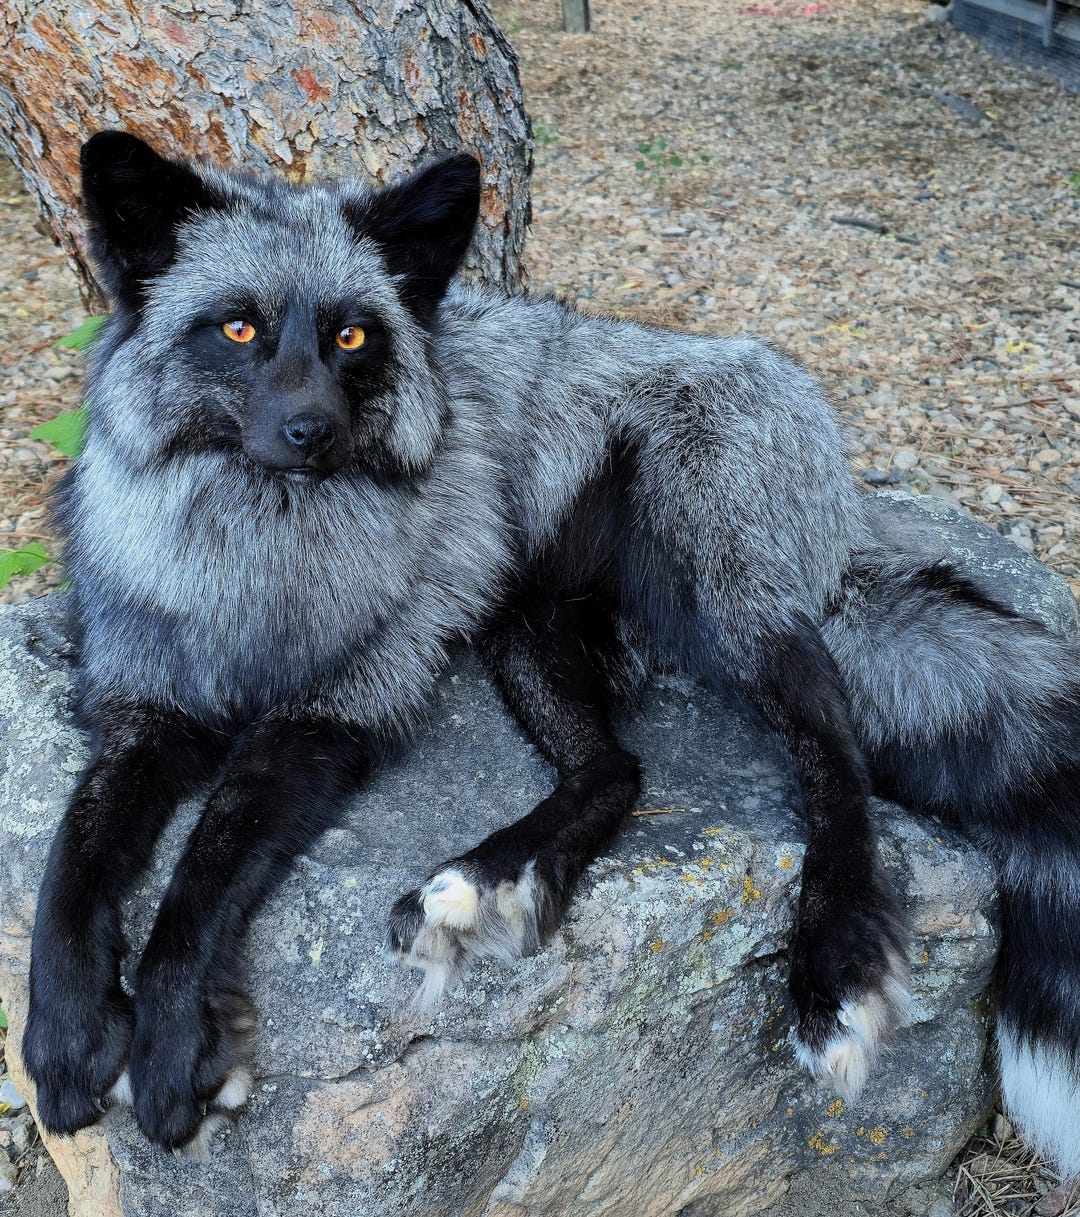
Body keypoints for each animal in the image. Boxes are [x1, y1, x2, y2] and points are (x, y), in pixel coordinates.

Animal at [19, 131, 1080, 1179]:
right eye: (238, 329)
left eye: (352, 337)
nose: (309, 431)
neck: (254, 575)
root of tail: (838, 528)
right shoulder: (144, 709)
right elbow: (72, 860)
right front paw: (65, 1033)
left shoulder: (340, 707)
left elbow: (207, 865)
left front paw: (167, 1042)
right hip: (523, 617)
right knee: (616, 768)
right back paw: (490, 878)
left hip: (709, 573)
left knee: (829, 734)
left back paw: (833, 959)